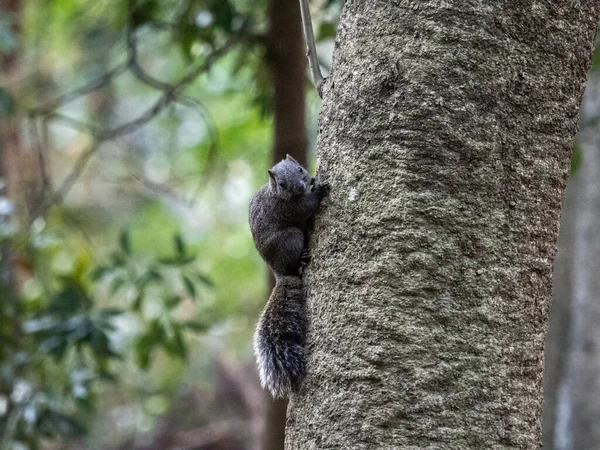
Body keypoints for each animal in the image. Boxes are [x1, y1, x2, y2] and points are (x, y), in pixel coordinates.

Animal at [247, 154, 328, 398]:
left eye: (300, 169)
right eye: (282, 184)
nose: (302, 186)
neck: (275, 193)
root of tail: (280, 273)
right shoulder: (288, 209)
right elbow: (306, 207)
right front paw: (319, 191)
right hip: (291, 238)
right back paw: (301, 260)